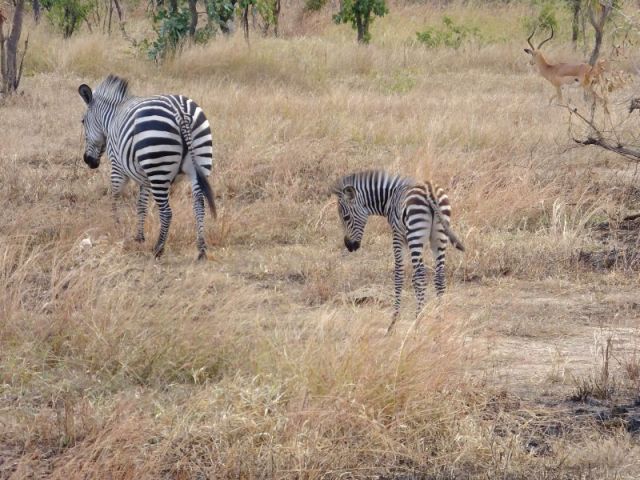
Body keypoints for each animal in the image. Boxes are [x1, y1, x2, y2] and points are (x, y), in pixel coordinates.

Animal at [78, 75, 215, 260]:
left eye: (83, 121)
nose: (88, 161)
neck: (112, 117)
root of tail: (180, 111)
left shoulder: (117, 166)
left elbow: (114, 196)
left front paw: (117, 226)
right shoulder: (144, 178)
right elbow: (141, 205)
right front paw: (139, 237)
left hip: (158, 169)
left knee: (166, 212)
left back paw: (158, 249)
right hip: (200, 161)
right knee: (199, 205)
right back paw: (201, 250)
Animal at [331, 170, 465, 333]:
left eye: (346, 217)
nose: (350, 246)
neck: (389, 199)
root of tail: (430, 190)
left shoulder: (398, 236)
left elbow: (399, 275)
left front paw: (393, 323)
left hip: (415, 233)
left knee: (421, 275)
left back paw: (417, 322)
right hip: (439, 237)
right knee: (439, 276)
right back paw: (439, 319)